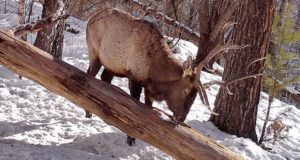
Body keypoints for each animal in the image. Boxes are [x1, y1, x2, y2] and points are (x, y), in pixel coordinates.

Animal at [85, 8, 262, 146]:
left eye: (195, 95)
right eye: (185, 91)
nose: (181, 118)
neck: (154, 71)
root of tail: (90, 17)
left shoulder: (148, 88)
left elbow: (147, 109)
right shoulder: (134, 76)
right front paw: (131, 139)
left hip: (111, 65)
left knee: (104, 78)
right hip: (94, 52)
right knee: (90, 75)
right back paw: (88, 112)